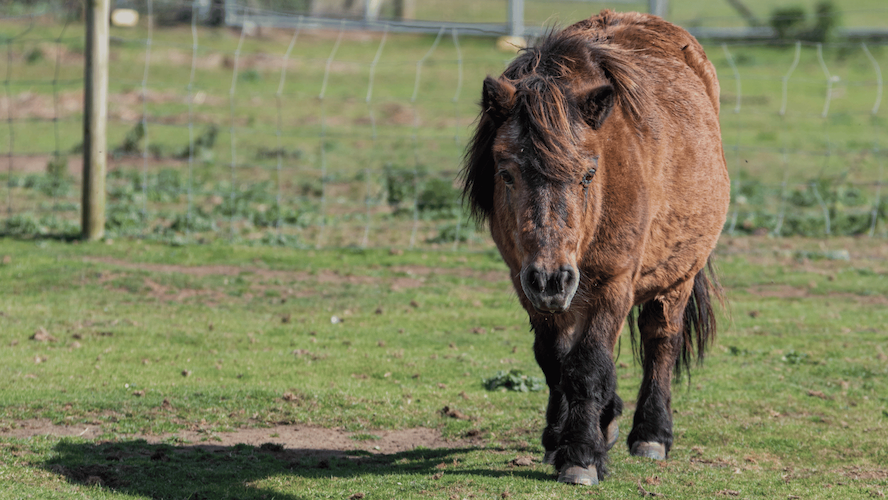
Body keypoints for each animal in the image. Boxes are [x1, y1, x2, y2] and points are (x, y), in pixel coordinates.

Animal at [464, 10, 728, 484]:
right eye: (506, 172)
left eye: (588, 173)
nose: (551, 278)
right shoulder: (527, 286)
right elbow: (554, 362)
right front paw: (563, 440)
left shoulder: (612, 283)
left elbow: (587, 366)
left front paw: (582, 457)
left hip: (676, 278)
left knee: (661, 341)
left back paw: (651, 434)